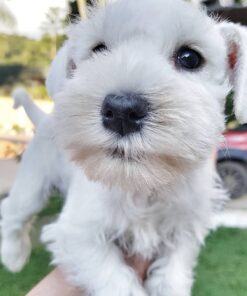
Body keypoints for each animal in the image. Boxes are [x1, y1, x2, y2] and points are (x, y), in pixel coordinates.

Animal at [41, 0, 247, 296]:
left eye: (190, 57)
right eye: (98, 50)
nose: (121, 110)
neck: (142, 185)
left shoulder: (185, 225)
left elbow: (174, 272)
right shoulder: (77, 231)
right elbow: (112, 276)